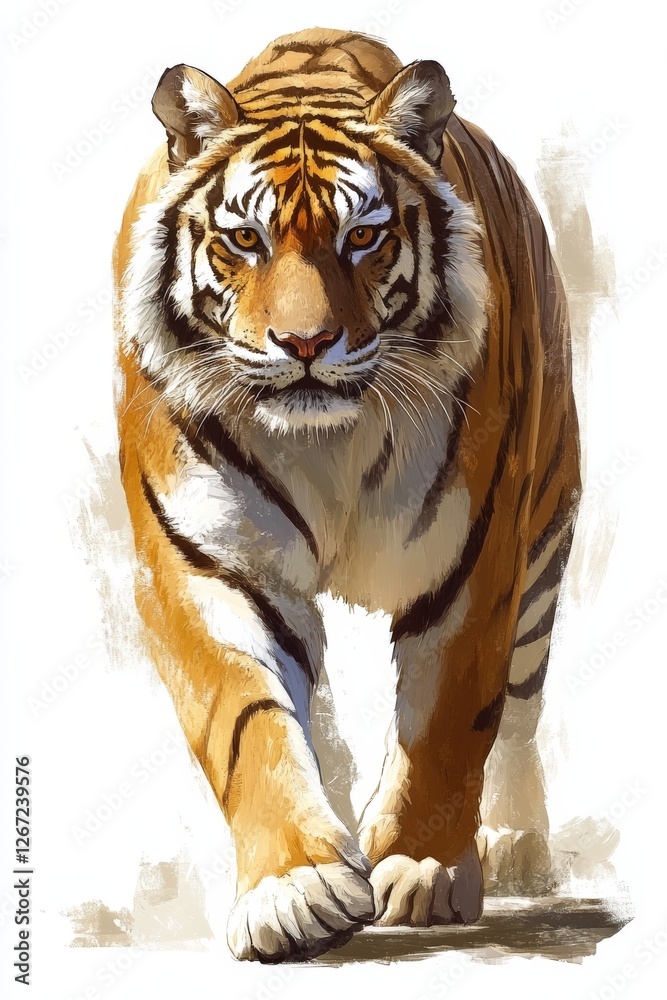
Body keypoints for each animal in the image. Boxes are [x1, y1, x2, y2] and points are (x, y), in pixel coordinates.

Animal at [113, 27, 581, 962]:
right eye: (245, 240)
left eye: (363, 236)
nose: (304, 342)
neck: (322, 444)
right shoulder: (205, 563)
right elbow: (247, 719)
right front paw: (294, 886)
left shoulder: (473, 555)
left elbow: (447, 721)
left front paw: (421, 871)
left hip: (546, 524)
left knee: (518, 704)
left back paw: (512, 844)